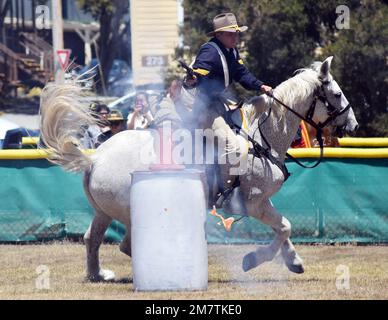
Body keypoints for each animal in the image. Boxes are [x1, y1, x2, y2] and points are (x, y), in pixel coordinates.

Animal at [39, 57, 358, 280]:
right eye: (337, 94)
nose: (353, 125)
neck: (260, 136)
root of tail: (95, 158)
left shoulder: (263, 202)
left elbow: (284, 229)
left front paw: (294, 262)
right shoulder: (254, 203)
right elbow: (284, 227)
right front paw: (253, 260)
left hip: (104, 212)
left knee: (93, 239)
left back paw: (99, 274)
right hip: (129, 211)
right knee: (126, 245)